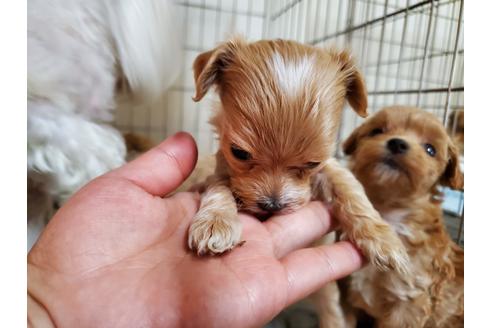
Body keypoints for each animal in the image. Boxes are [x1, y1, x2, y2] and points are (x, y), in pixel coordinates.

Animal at [186, 37, 410, 276]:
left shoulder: (328, 167)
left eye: (313, 163)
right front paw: (215, 223)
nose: (272, 205)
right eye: (239, 153)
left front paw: (383, 239)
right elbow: (218, 187)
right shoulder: (221, 169)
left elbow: (348, 186)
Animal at [338, 106, 466, 326]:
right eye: (377, 131)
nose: (397, 143)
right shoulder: (347, 293)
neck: (388, 212)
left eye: (430, 149)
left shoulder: (409, 302)